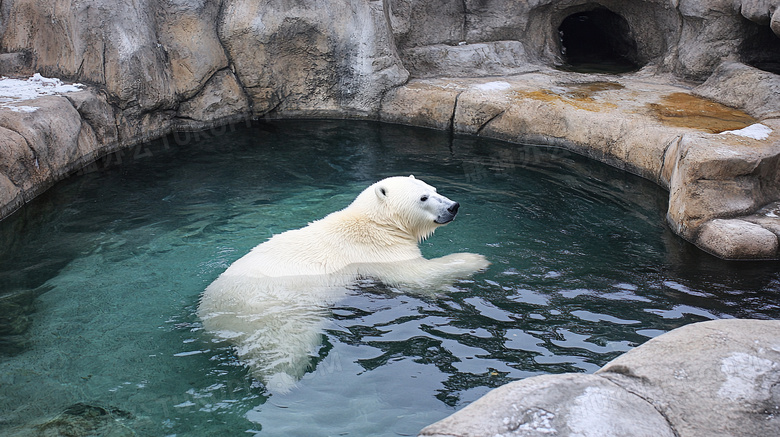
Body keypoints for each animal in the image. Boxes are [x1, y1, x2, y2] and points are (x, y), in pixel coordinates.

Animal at [198, 175, 488, 392]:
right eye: (423, 198)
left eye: (434, 189)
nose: (453, 206)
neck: (375, 223)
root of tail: (213, 318)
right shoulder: (379, 253)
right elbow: (418, 275)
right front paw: (476, 259)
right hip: (275, 312)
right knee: (287, 347)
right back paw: (284, 383)